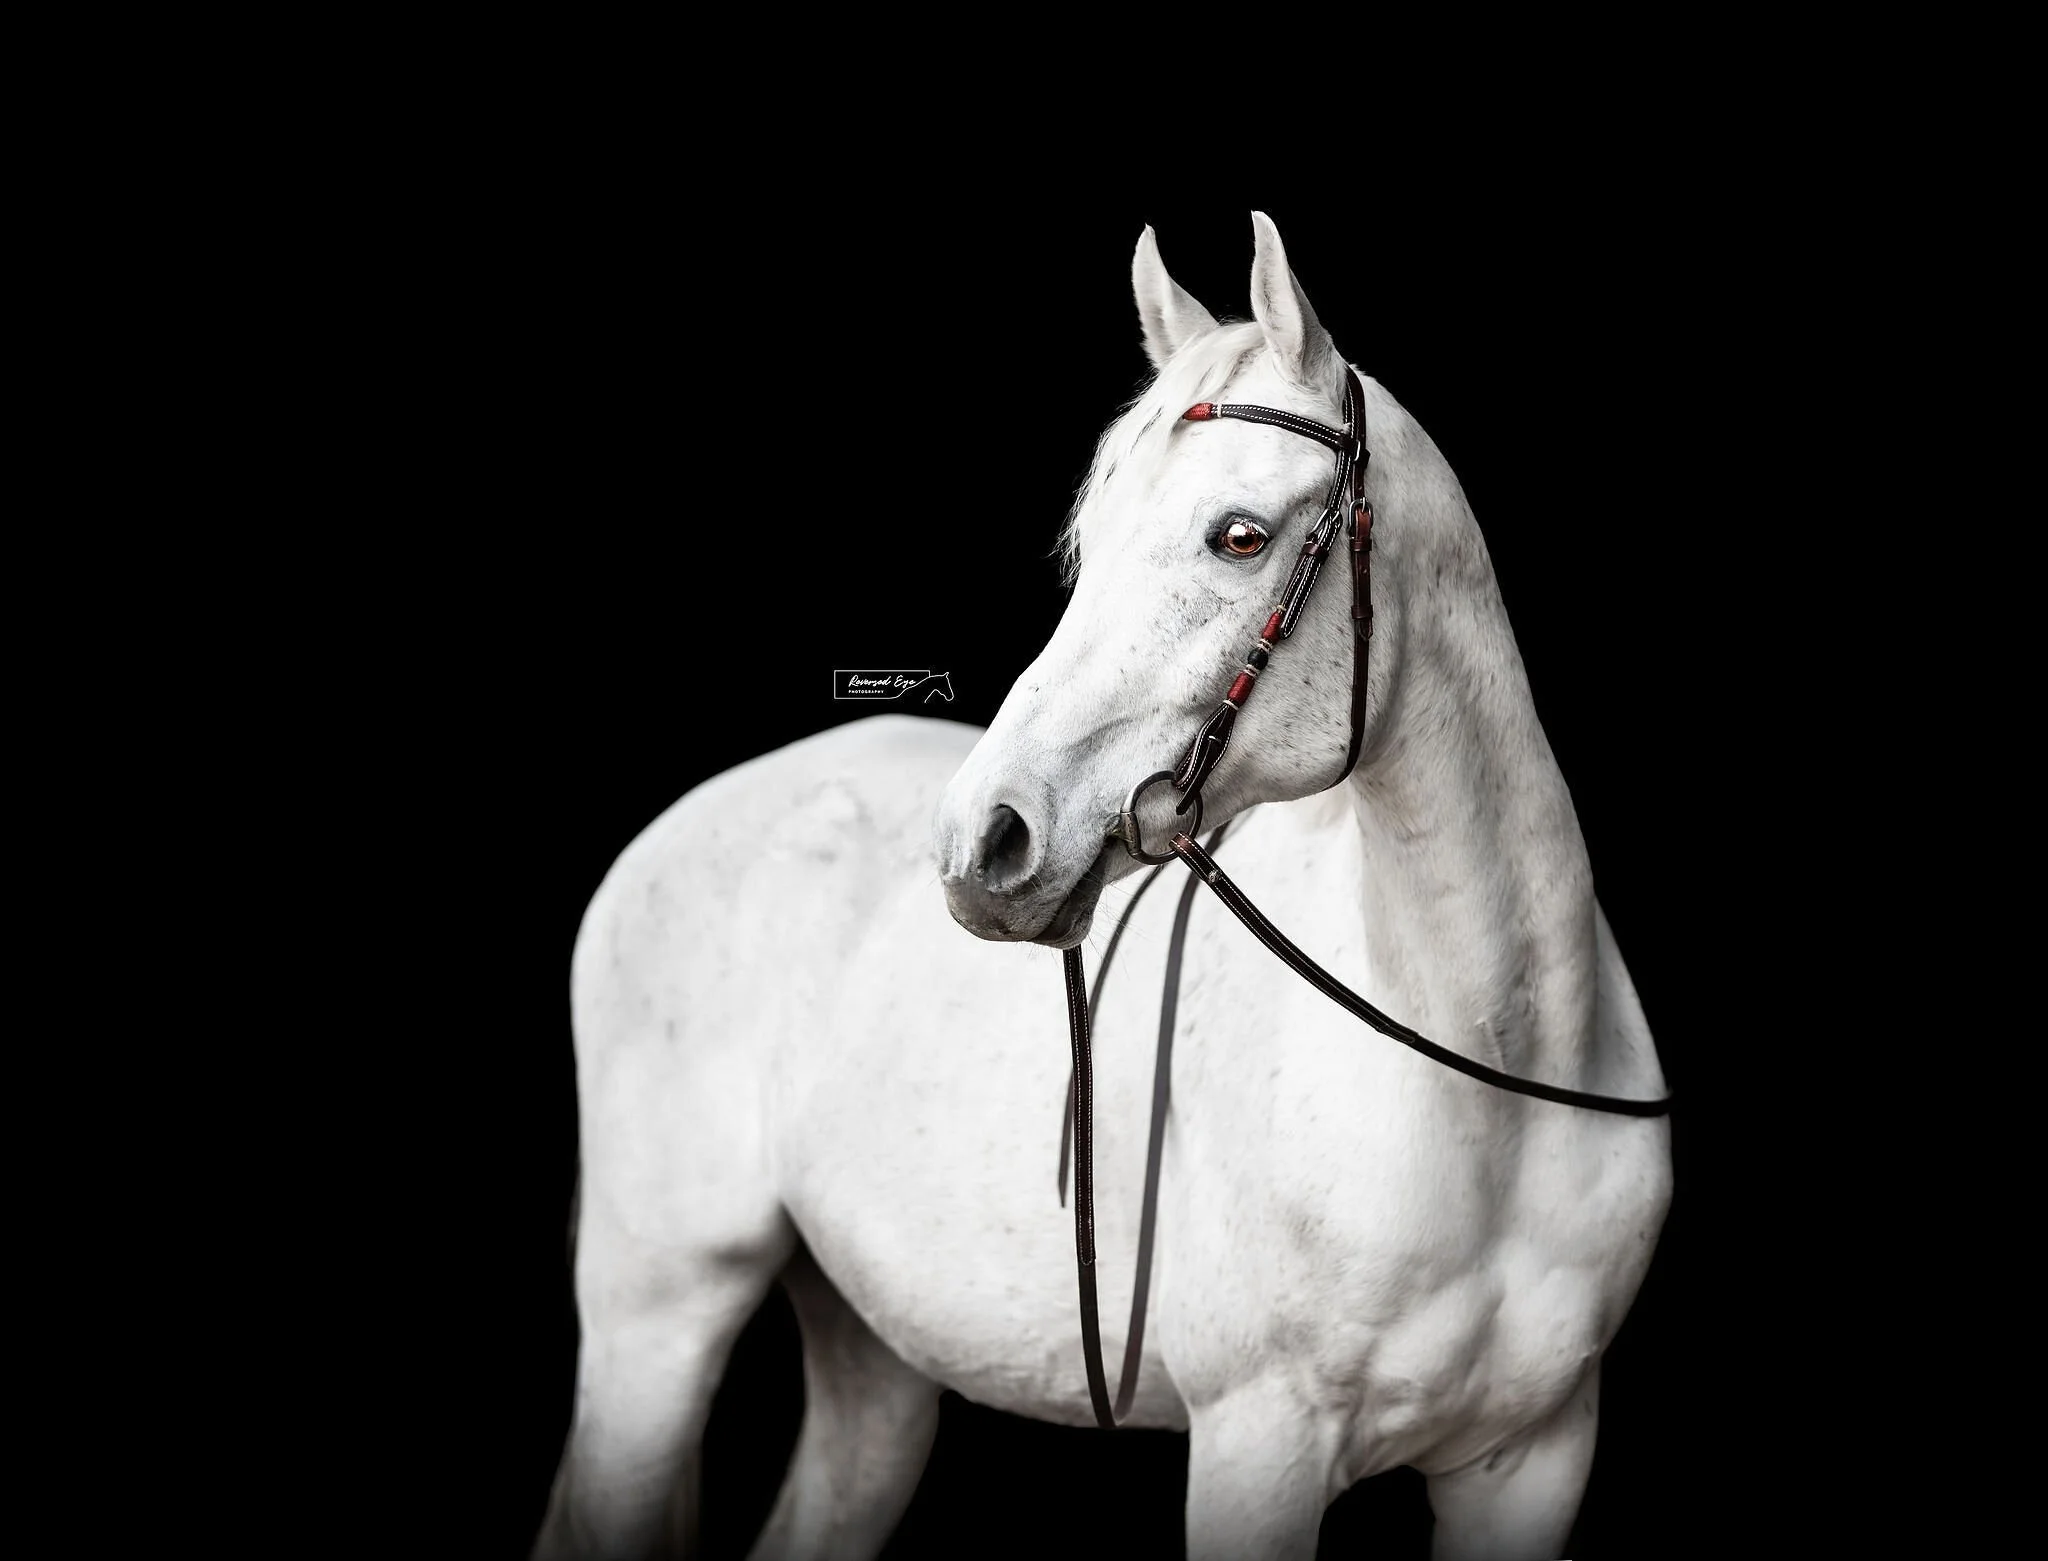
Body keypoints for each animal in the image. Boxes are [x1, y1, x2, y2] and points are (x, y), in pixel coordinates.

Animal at [532, 211, 1673, 1561]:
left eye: (1238, 534)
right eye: (1090, 542)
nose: (986, 841)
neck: (1489, 1080)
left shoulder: (1530, 1462)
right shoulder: (1259, 1447)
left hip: (870, 1364)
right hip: (655, 1321)